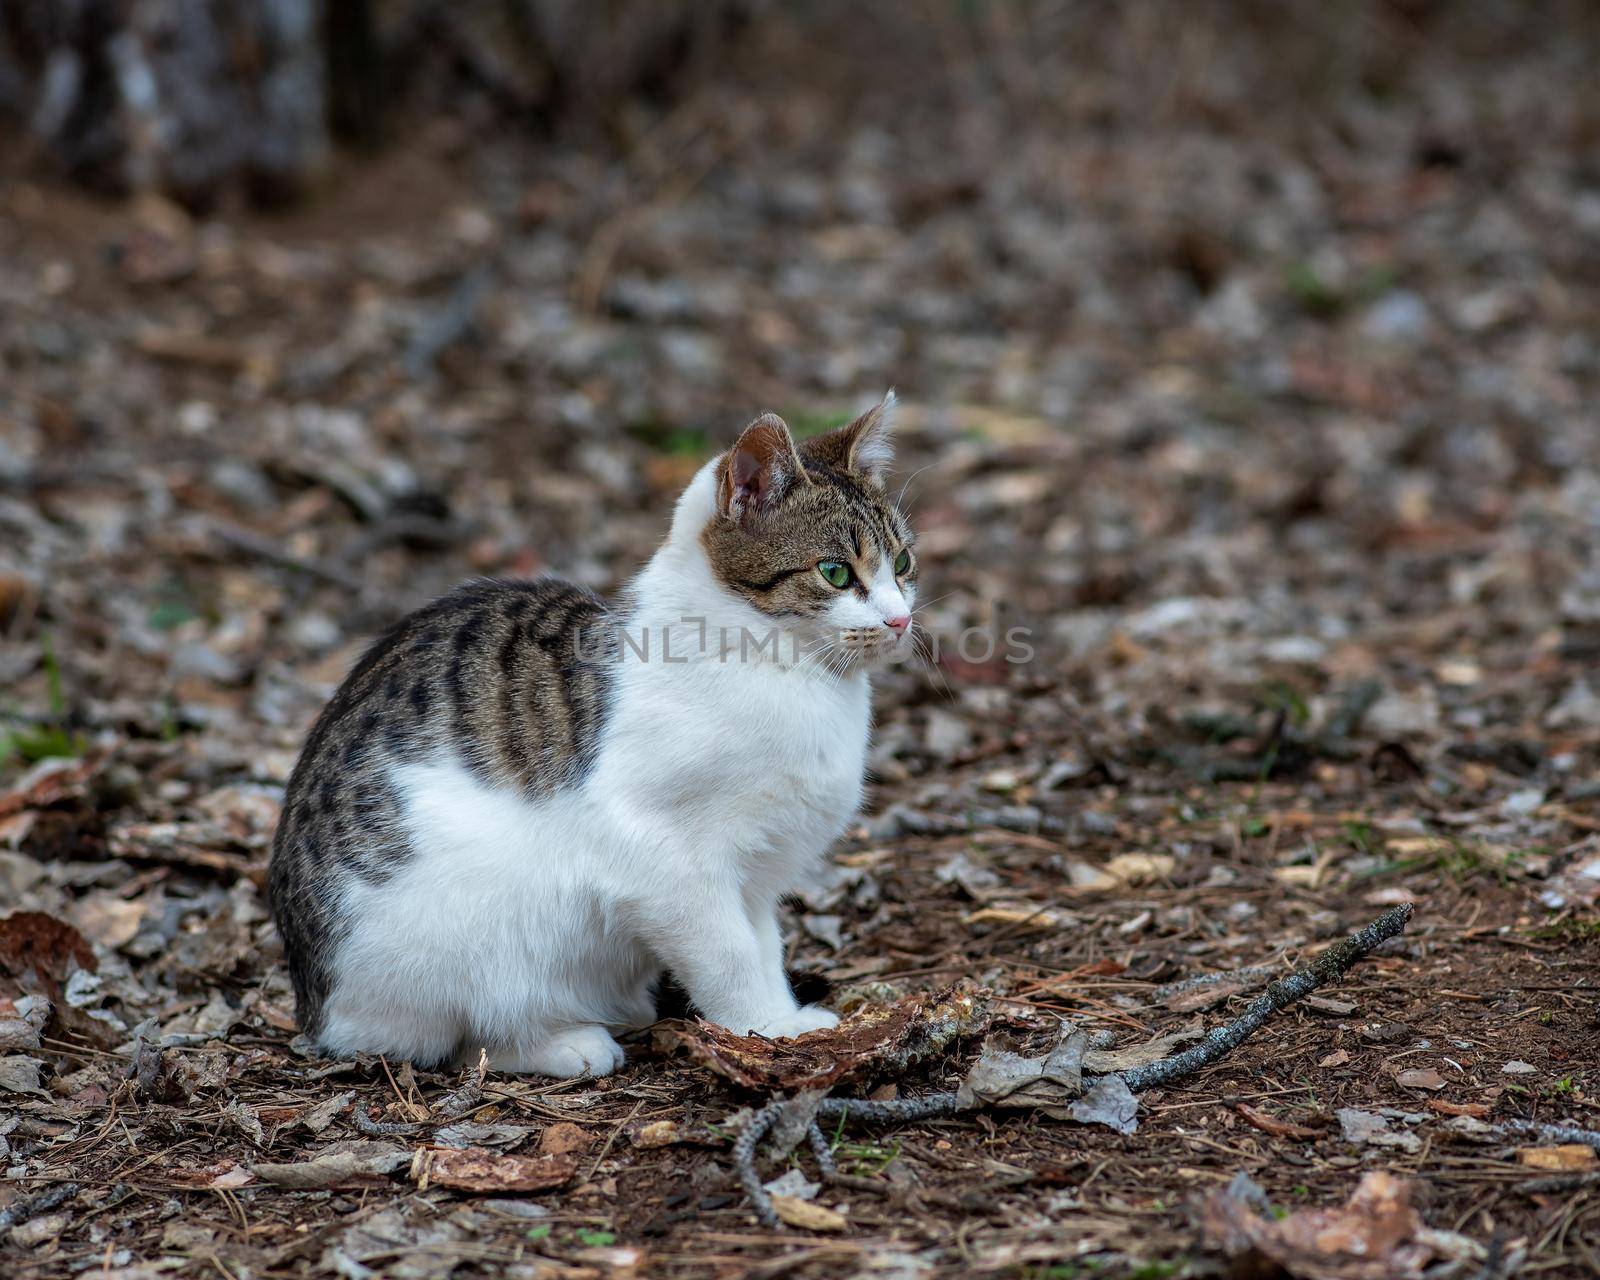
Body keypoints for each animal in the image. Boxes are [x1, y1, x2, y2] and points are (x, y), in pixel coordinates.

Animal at [270, 395, 921, 1075]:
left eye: (902, 564)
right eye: (836, 572)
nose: (900, 619)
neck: (792, 672)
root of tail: (315, 1008)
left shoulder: (757, 875)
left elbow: (763, 946)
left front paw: (784, 1017)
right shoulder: (664, 859)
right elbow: (730, 954)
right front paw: (766, 1030)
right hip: (481, 925)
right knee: (470, 1034)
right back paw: (570, 1044)